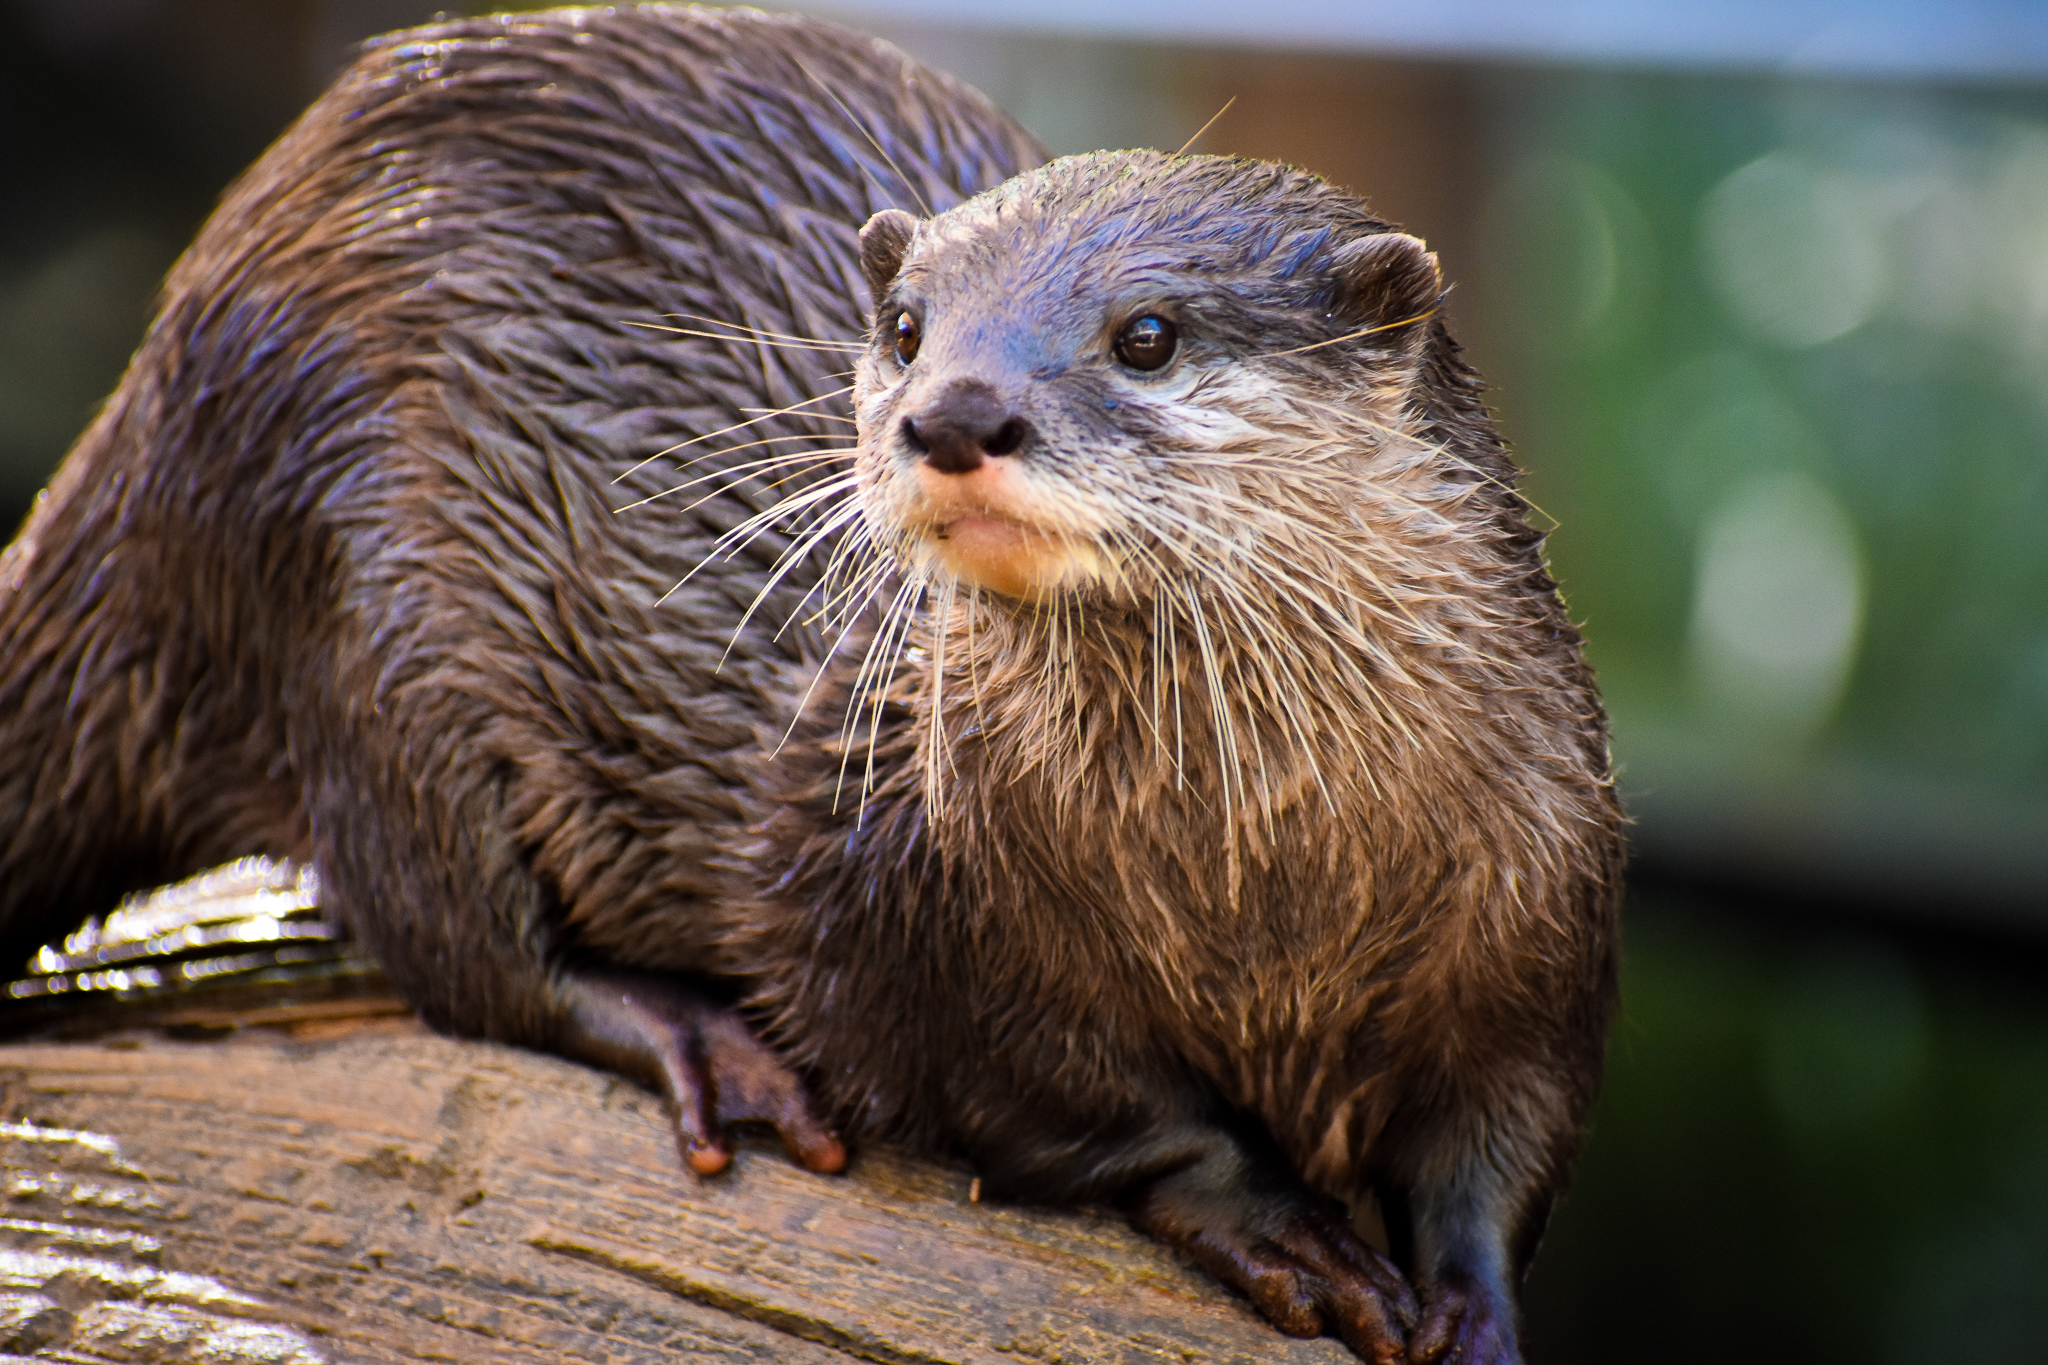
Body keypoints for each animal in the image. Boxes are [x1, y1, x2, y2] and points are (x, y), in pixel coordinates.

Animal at [0, 7, 1623, 1364]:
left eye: (1148, 334)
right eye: (905, 327)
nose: (955, 411)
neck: (1262, 875)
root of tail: (162, 365)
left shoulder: (1545, 910)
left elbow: (1502, 1150)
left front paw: (1471, 1307)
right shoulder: (902, 896)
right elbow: (1067, 1101)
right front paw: (1283, 1225)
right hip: (353, 574)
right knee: (448, 927)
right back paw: (696, 1041)